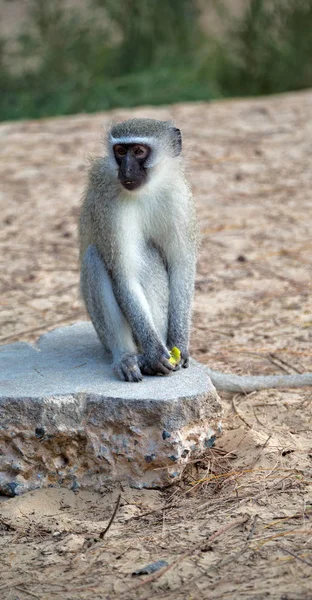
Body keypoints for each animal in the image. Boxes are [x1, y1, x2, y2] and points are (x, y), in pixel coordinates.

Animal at [78, 118, 312, 394]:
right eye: (120, 151)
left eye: (138, 151)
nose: (125, 171)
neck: (148, 190)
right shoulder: (110, 206)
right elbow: (124, 275)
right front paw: (155, 351)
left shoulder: (179, 197)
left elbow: (182, 264)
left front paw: (179, 342)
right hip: (102, 334)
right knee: (95, 257)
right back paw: (128, 356)